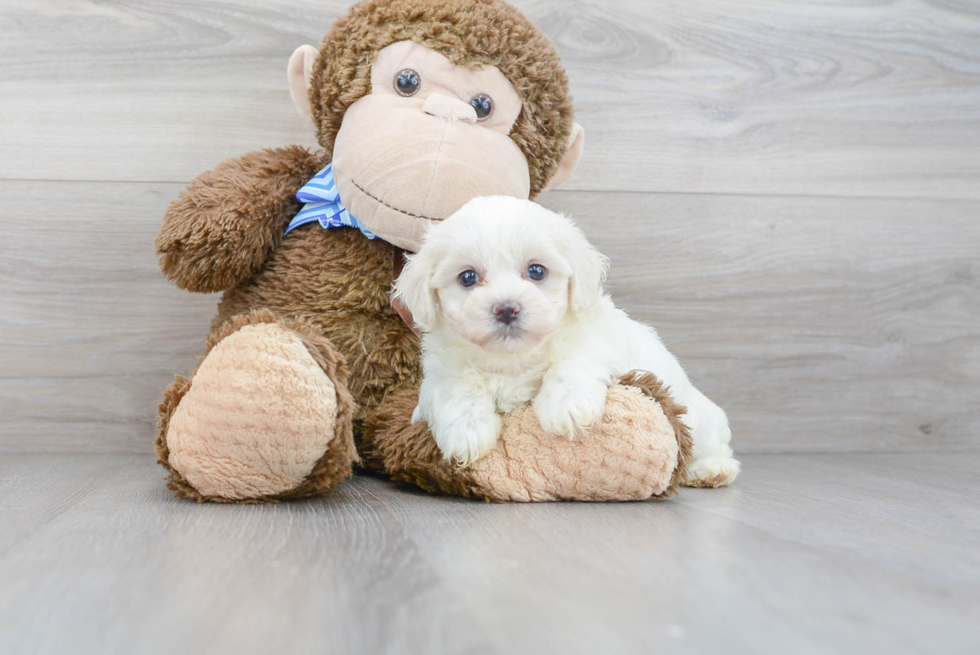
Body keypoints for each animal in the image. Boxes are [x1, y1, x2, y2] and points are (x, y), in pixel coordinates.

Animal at [394, 195, 740, 486]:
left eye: (537, 271)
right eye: (467, 277)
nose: (506, 308)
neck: (511, 359)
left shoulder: (594, 343)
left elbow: (570, 365)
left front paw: (568, 408)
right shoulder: (441, 373)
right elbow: (456, 391)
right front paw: (466, 434)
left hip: (702, 422)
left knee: (715, 448)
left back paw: (711, 470)